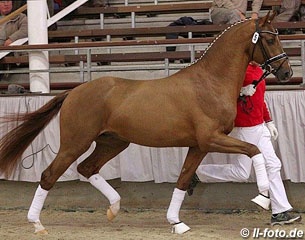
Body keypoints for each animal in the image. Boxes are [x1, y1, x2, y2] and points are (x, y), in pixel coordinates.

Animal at [0, 12, 290, 235]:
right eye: (270, 38)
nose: (286, 72)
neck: (209, 81)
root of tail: (74, 92)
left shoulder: (199, 146)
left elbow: (183, 179)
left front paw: (176, 223)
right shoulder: (211, 138)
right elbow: (254, 150)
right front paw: (263, 196)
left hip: (113, 142)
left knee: (87, 167)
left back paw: (114, 207)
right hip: (75, 143)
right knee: (49, 175)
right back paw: (37, 224)